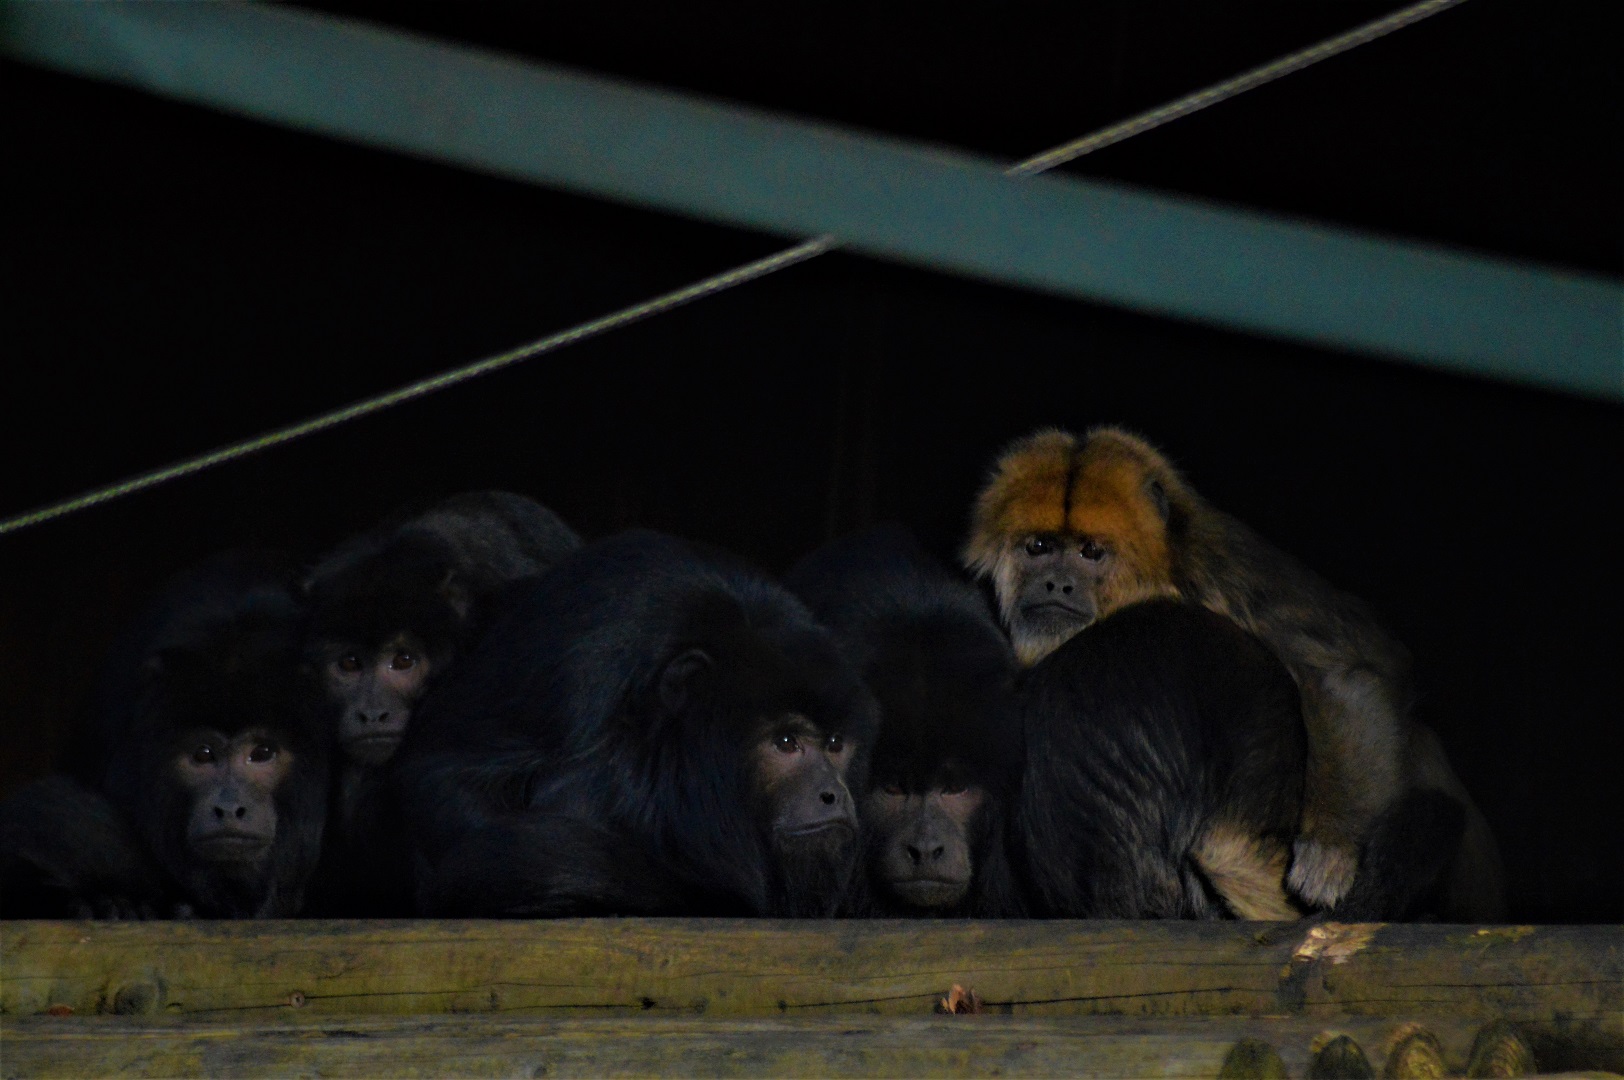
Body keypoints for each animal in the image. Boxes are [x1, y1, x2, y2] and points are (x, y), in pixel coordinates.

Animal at [965, 427, 1504, 917]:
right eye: (1038, 547)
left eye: (1090, 552)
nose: (1056, 583)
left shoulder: (1220, 566)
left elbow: (1345, 669)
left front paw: (1330, 849)